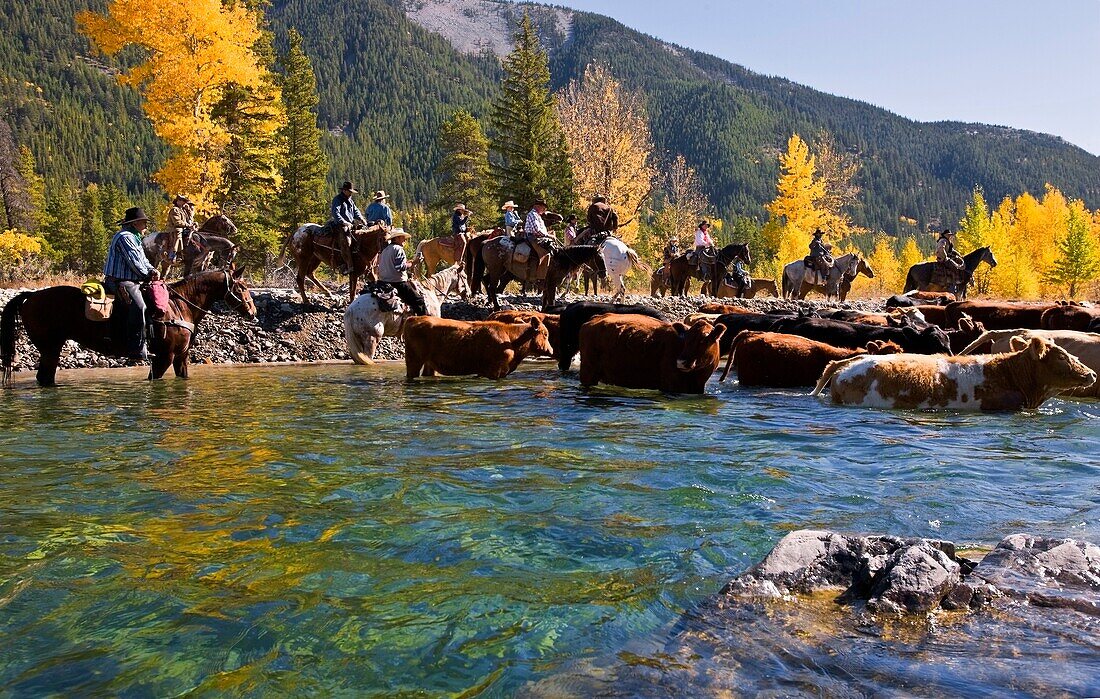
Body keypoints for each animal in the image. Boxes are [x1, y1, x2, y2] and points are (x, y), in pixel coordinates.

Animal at [3, 267, 255, 387]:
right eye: (242, 287)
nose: (253, 312)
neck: (179, 305)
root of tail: (31, 296)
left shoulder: (180, 356)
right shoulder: (164, 356)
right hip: (50, 348)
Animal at [404, 319, 554, 380]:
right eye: (545, 334)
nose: (551, 350)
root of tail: (413, 318)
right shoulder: (494, 371)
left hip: (428, 363)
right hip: (413, 361)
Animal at [580, 314, 726, 394]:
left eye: (704, 340)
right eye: (686, 339)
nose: (681, 362)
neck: (697, 378)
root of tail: (595, 318)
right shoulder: (670, 385)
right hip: (588, 371)